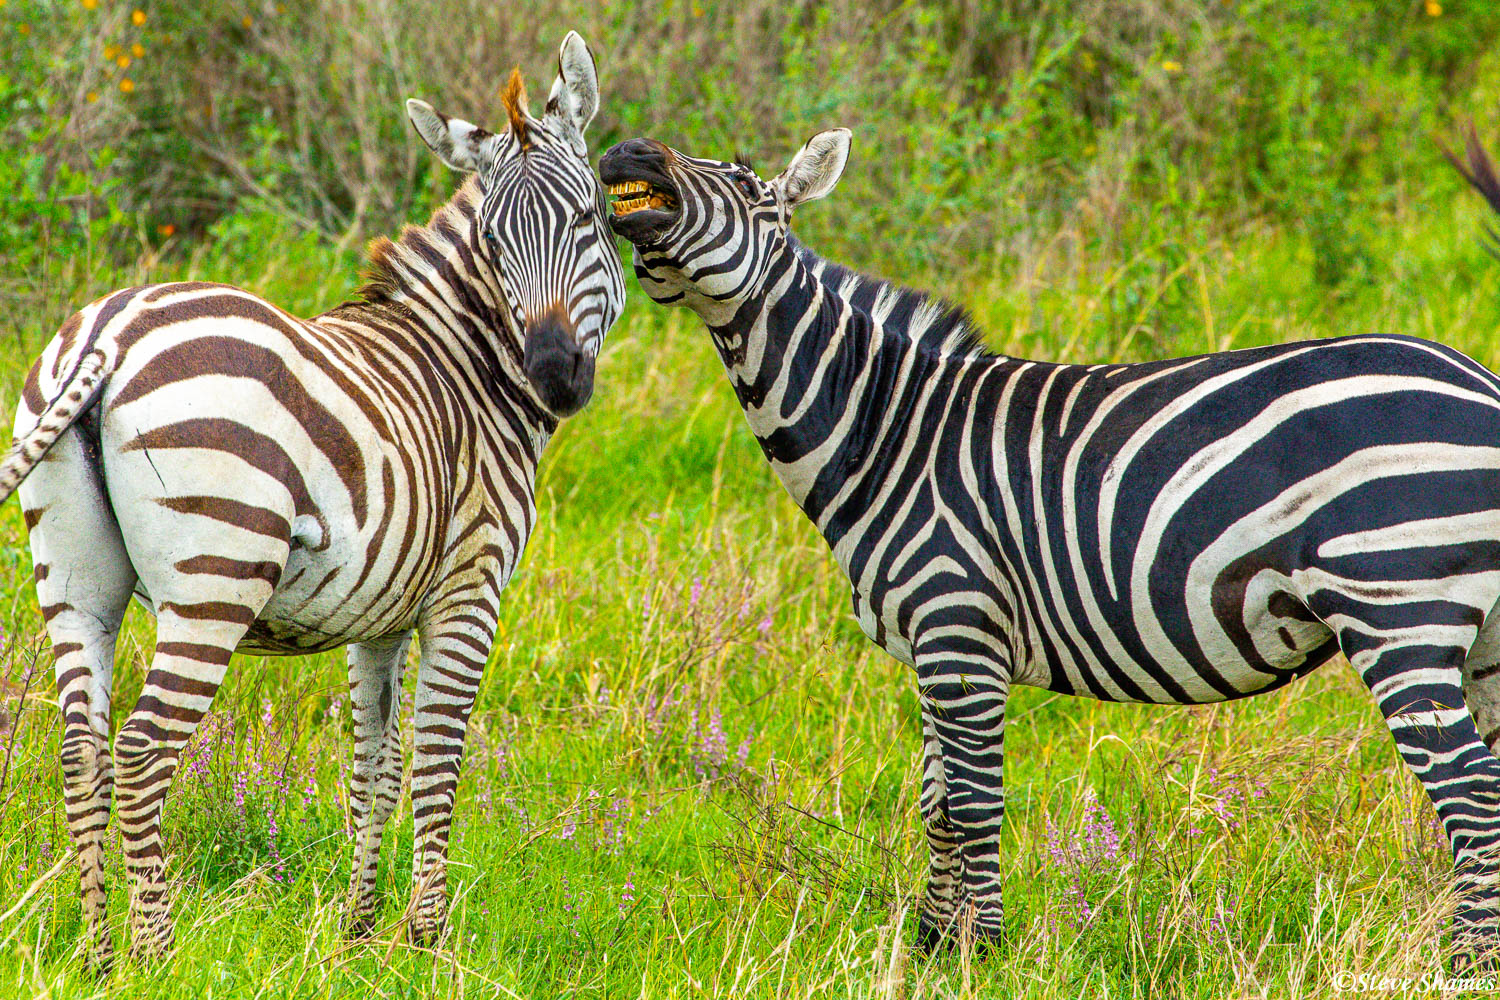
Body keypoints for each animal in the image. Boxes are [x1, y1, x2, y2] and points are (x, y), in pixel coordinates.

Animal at [2, 31, 624, 971]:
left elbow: (374, 766)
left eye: (588, 218)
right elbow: (437, 758)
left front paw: (360, 930)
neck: (467, 365)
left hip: (75, 581)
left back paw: (101, 955)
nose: (555, 375)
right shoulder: (469, 589)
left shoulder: (380, 616)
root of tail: (112, 329)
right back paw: (159, 952)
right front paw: (428, 940)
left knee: (81, 751)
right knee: (142, 751)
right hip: (215, 573)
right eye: (493, 242)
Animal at [600, 128, 1500, 965]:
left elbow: (971, 802)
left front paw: (984, 951)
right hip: (1483, 637)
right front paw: (934, 947)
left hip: (1396, 605)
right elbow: (934, 803)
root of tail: (1479, 383)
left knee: (1469, 789)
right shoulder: (932, 645)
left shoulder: (958, 622)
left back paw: (1463, 962)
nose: (628, 150)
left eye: (749, 189)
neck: (886, 426)